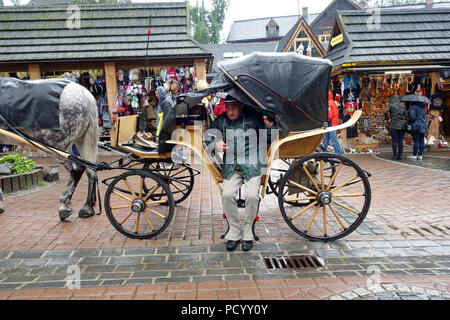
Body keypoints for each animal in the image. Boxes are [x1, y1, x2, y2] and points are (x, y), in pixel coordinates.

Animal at [0, 80, 99, 220]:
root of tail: (83, 93)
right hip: (82, 141)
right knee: (91, 170)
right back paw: (87, 208)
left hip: (56, 144)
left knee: (76, 170)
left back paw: (64, 207)